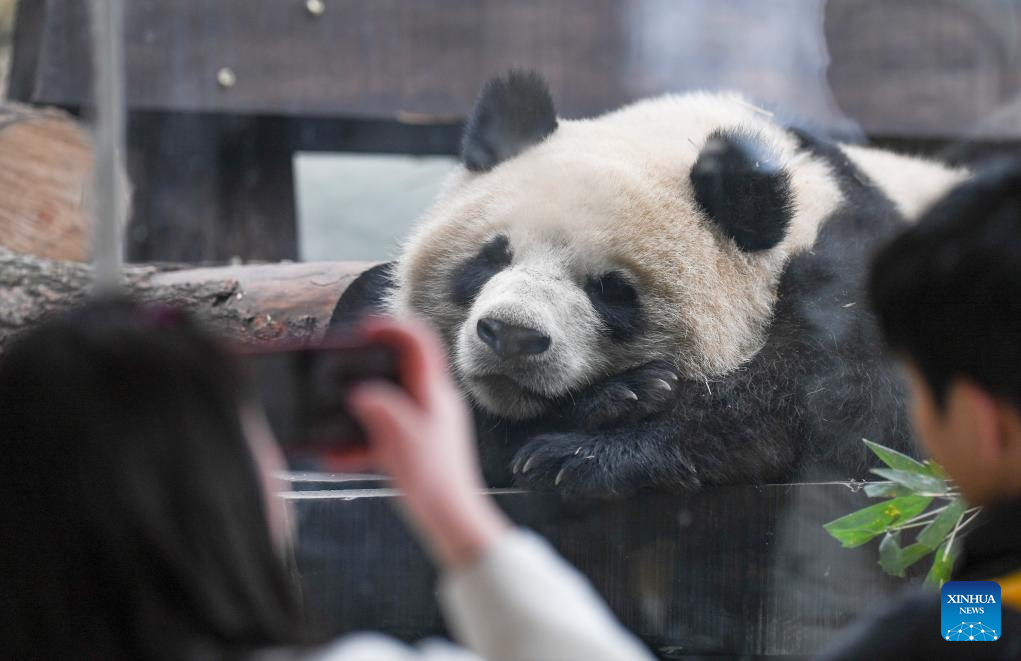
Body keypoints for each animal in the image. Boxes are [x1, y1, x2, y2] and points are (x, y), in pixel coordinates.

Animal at [330, 71, 967, 496]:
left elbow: (853, 405)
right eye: (490, 258)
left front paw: (588, 450)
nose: (511, 336)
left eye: (611, 290)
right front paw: (615, 398)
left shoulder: (851, 256)